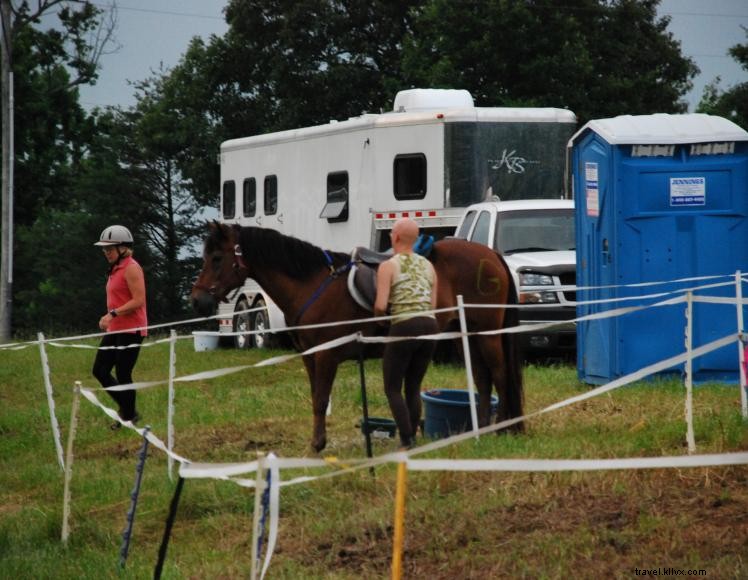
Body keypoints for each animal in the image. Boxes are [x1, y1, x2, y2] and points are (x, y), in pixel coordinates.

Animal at [191, 223, 523, 452]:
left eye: (217, 257)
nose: (198, 300)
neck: (310, 284)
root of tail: (491, 254)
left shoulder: (326, 356)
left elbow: (321, 398)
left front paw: (317, 445)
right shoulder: (310, 357)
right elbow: (316, 398)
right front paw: (317, 442)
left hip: (487, 334)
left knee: (499, 374)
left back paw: (503, 428)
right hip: (466, 332)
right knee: (482, 379)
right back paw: (481, 429)